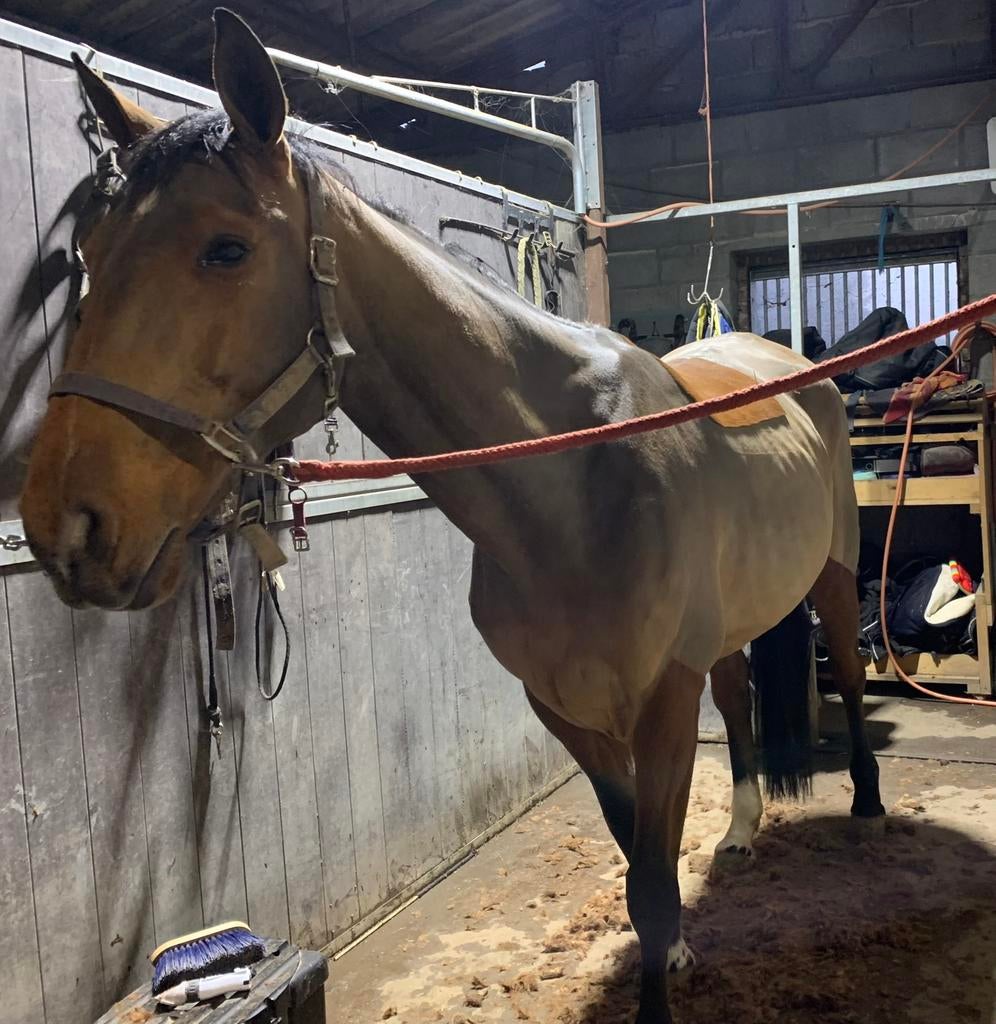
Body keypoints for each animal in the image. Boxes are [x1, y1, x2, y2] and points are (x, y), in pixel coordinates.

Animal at [19, 12, 884, 1022]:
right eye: (89, 253)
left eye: (225, 249)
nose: (66, 527)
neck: (573, 484)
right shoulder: (565, 710)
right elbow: (640, 860)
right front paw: (670, 950)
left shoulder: (660, 702)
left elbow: (653, 883)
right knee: (741, 695)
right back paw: (743, 828)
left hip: (835, 577)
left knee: (851, 675)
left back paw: (867, 804)